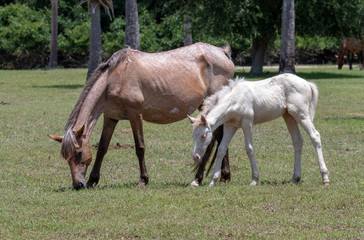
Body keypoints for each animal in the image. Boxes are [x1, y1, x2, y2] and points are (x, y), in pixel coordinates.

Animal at [48, 42, 235, 189]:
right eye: (66, 157)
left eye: (79, 153)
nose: (77, 185)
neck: (115, 77)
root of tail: (222, 53)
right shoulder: (110, 117)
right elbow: (102, 148)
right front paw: (93, 180)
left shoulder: (135, 114)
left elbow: (140, 147)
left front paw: (143, 180)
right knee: (219, 137)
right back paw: (223, 176)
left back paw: (200, 178)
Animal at [188, 74, 330, 187]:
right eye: (193, 136)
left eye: (203, 135)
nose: (195, 157)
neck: (235, 99)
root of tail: (307, 83)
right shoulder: (230, 126)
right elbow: (221, 149)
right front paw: (212, 180)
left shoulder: (247, 123)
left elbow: (249, 148)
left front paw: (254, 179)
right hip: (289, 116)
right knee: (298, 141)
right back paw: (295, 178)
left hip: (301, 115)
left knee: (315, 136)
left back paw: (325, 178)